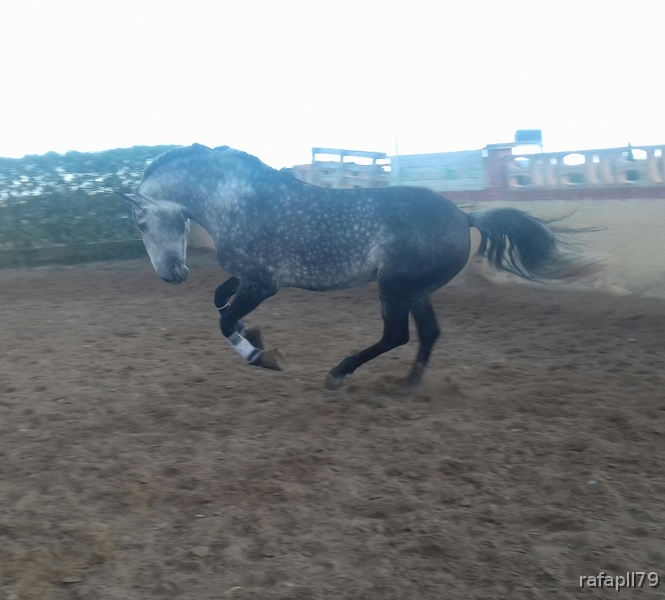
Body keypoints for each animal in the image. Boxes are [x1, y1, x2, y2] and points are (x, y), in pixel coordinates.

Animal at [118, 143, 595, 391]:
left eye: (140, 221)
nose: (170, 275)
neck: (237, 201)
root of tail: (466, 217)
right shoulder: (248, 277)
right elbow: (220, 303)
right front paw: (255, 335)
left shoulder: (262, 283)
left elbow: (223, 320)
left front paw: (262, 355)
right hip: (416, 290)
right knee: (428, 333)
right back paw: (408, 382)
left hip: (395, 287)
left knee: (397, 335)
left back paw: (339, 373)